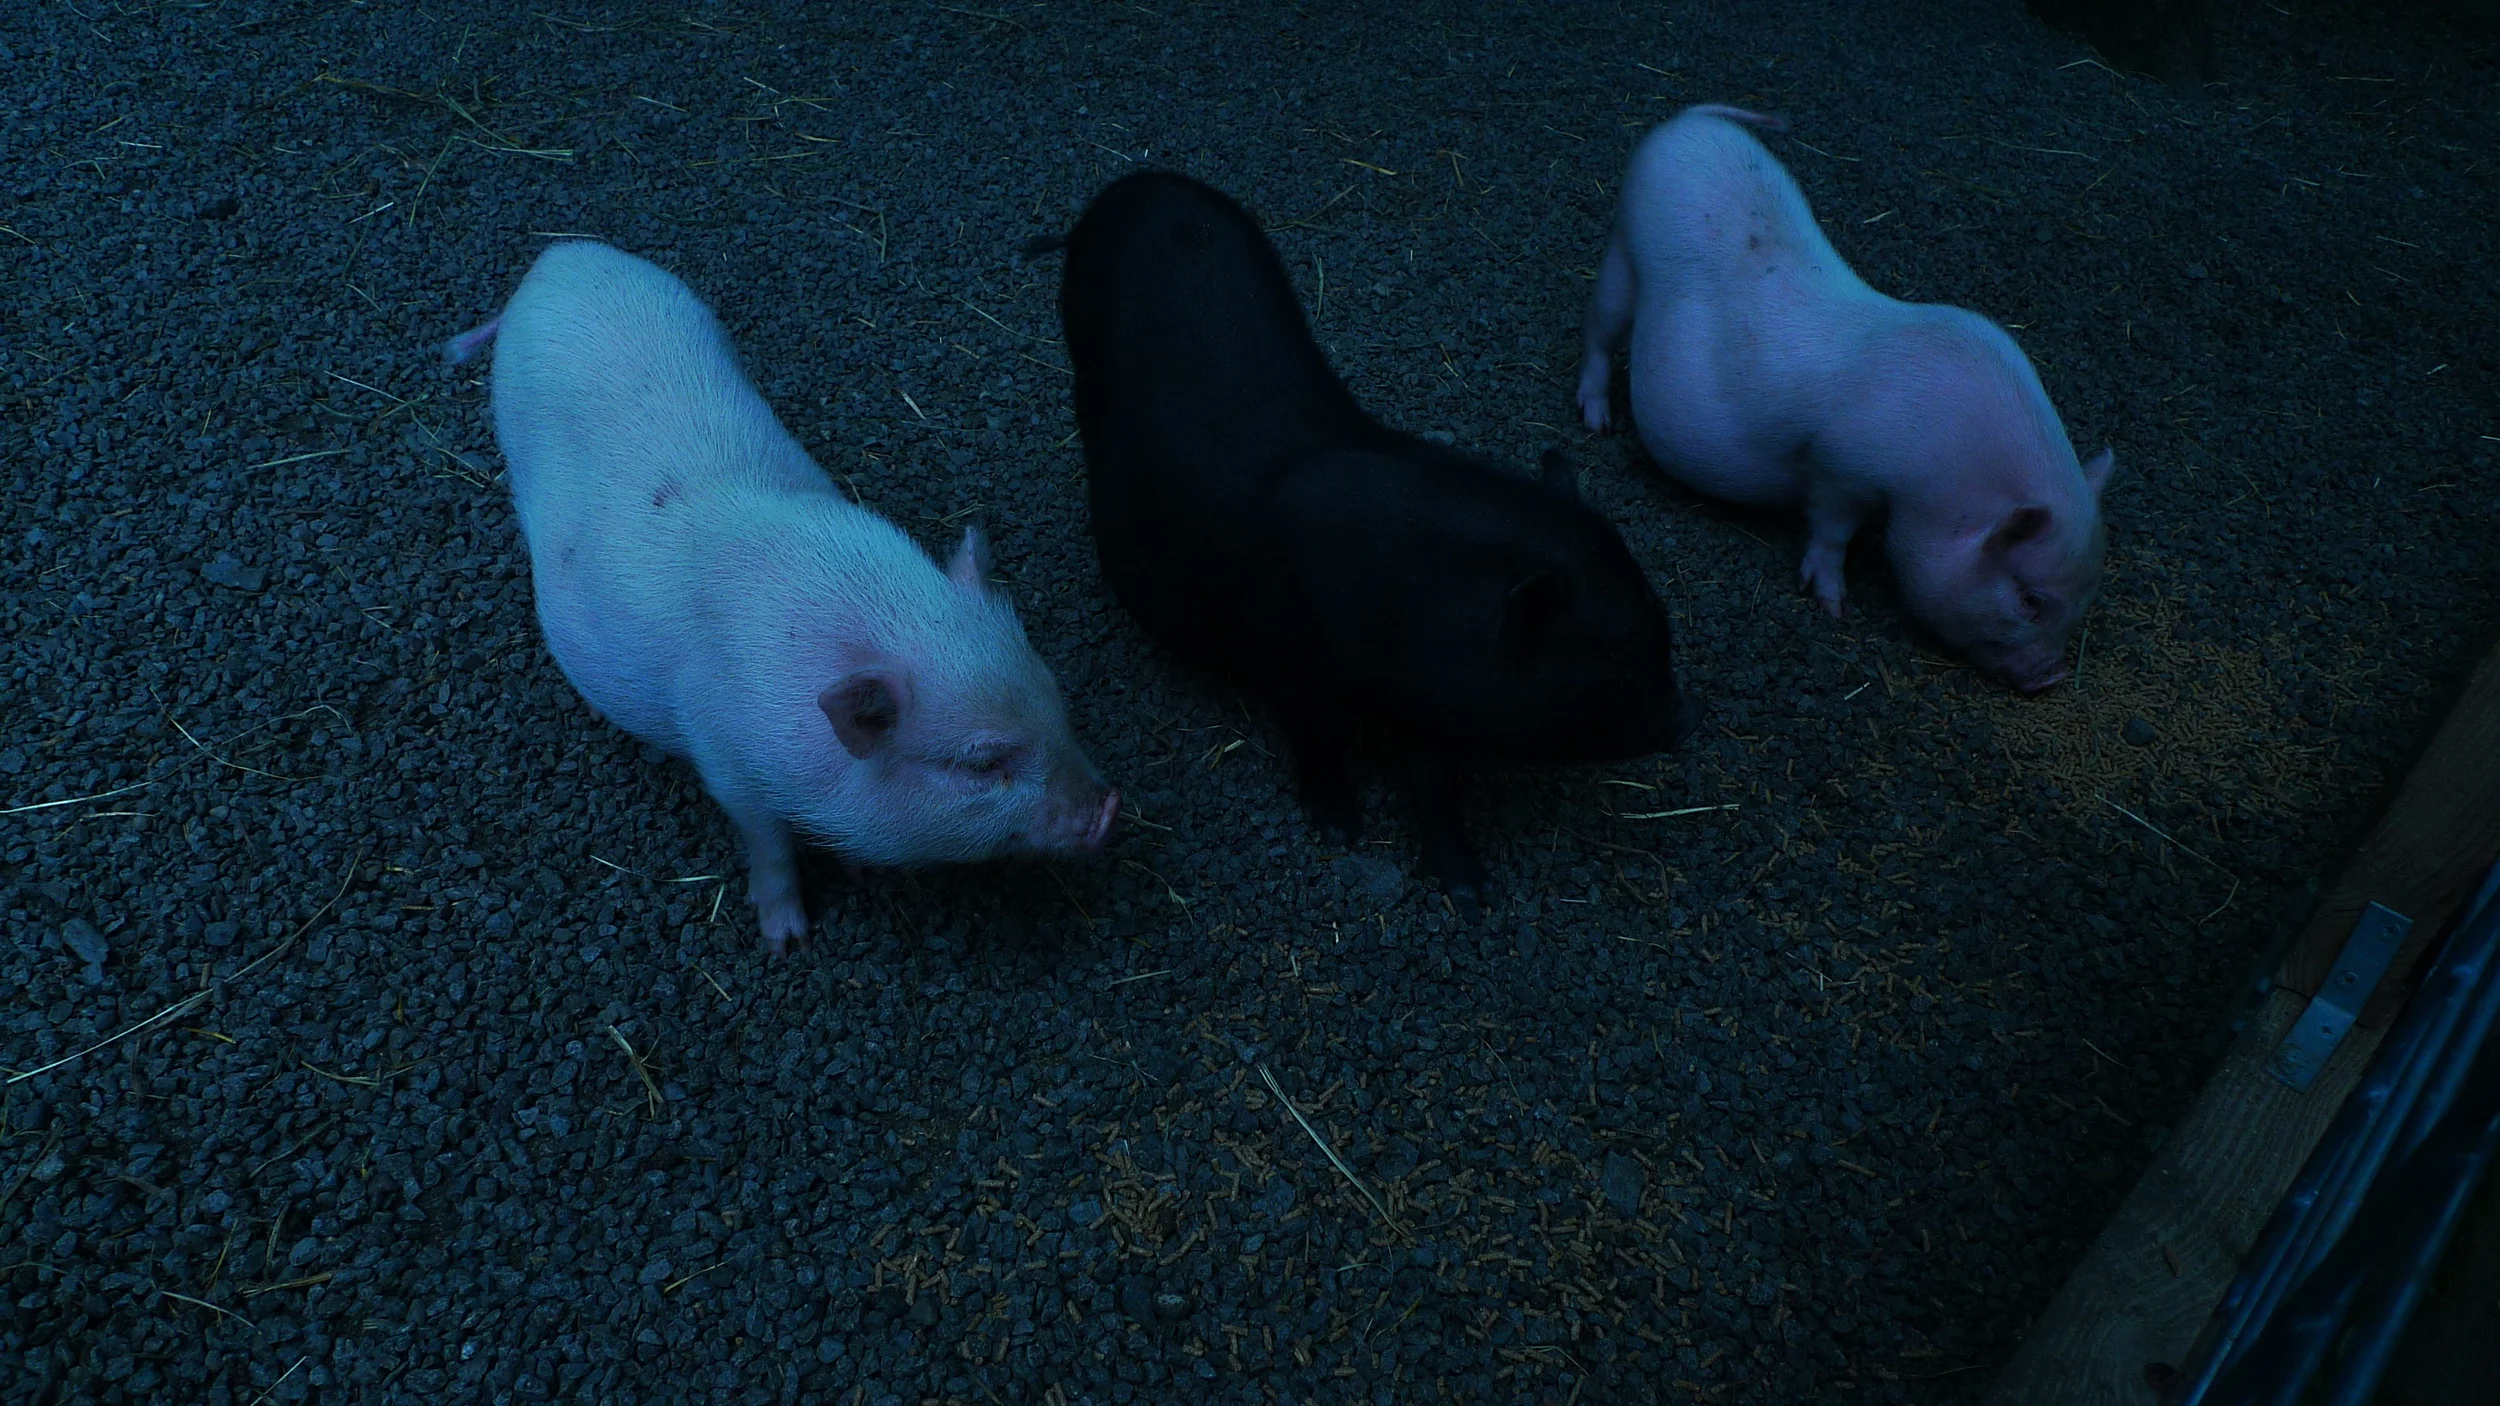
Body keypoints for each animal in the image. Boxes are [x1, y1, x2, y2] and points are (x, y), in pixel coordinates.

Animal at [445, 240, 1117, 956]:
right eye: (984, 763)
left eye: (1055, 700)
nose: (1110, 809)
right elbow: (768, 846)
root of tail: (556, 257)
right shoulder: (724, 757)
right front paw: (786, 940)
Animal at [1034, 171, 1696, 911]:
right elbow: (1317, 745)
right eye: (1610, 653)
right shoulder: (1287, 666)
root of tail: (1135, 182)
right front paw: (1341, 835)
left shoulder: (1427, 700)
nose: (1683, 722)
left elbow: (1433, 785)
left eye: (1663, 625)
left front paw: (1470, 893)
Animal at [1577, 104, 2115, 692]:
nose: (2053, 677)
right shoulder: (1841, 464)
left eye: (2084, 600)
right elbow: (1832, 529)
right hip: (1622, 251)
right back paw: (1596, 422)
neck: (1945, 478)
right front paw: (1835, 608)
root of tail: (1688, 119)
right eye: (2031, 599)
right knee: (1600, 331)